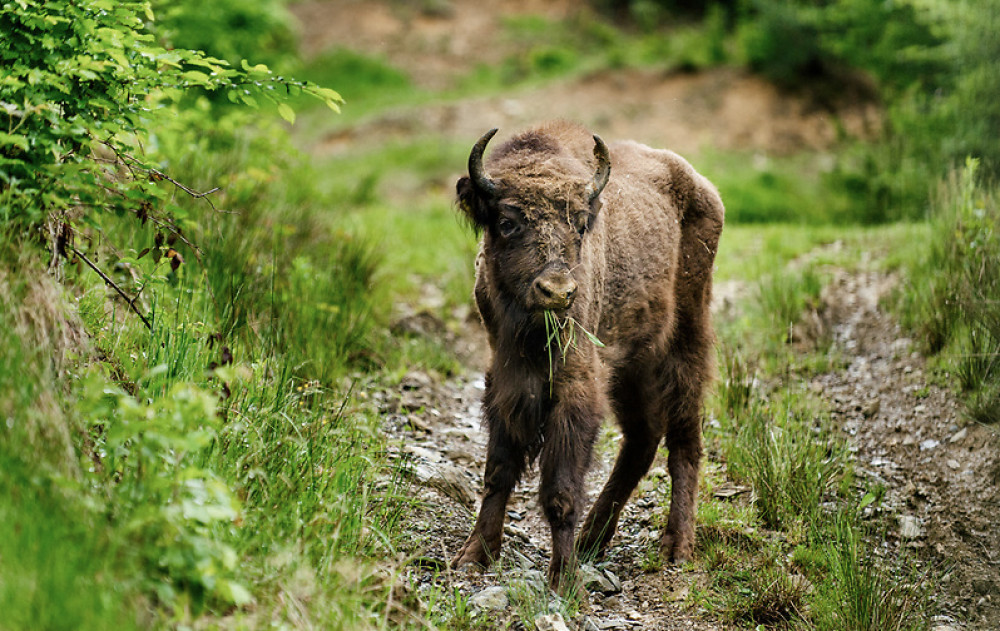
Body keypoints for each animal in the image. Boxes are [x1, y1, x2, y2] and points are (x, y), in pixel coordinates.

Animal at [452, 122, 720, 592]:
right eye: (506, 222)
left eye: (579, 225)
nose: (557, 291)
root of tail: (702, 186)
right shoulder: (505, 378)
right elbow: (498, 469)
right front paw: (474, 556)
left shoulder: (576, 384)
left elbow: (560, 489)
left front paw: (564, 578)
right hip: (631, 363)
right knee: (642, 438)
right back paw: (594, 539)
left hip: (685, 340)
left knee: (684, 440)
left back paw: (676, 546)